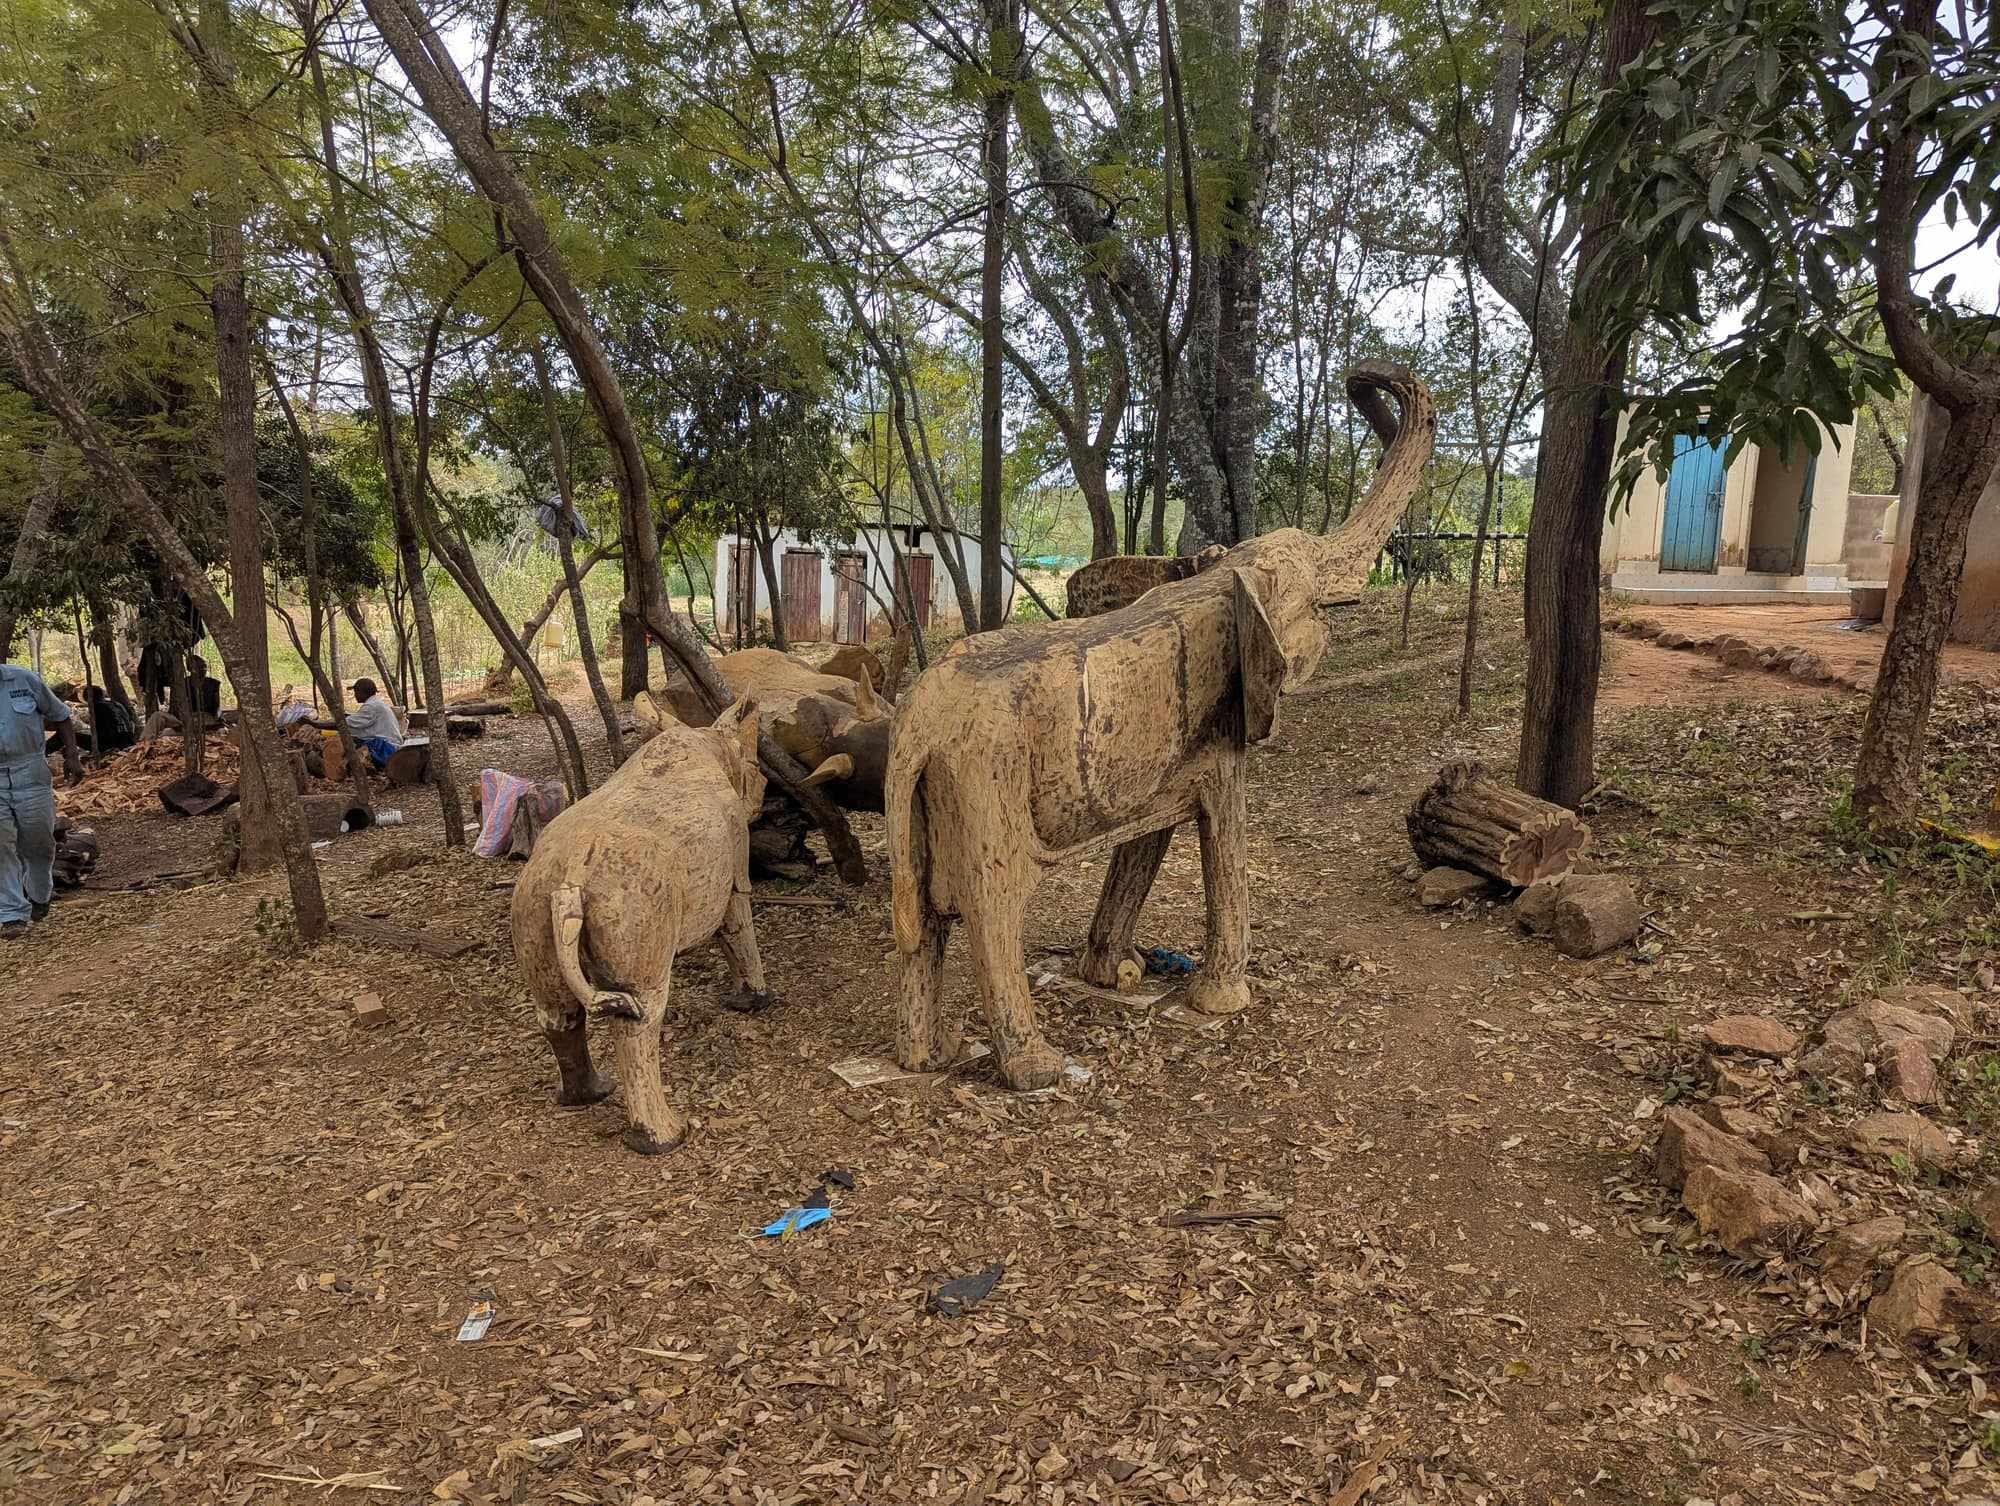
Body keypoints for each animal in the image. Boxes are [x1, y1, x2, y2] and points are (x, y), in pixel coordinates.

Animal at [885, 363, 1435, 1090]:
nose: (1360, 379)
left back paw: (929, 1059)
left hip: (924, 804)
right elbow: (1222, 827)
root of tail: (916, 728)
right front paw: (1221, 1003)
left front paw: (1116, 975)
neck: (1220, 572)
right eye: (1314, 595)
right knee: (993, 913)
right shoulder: (1225, 722)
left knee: (922, 928)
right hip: (985, 781)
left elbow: (1151, 835)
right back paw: (1039, 1070)